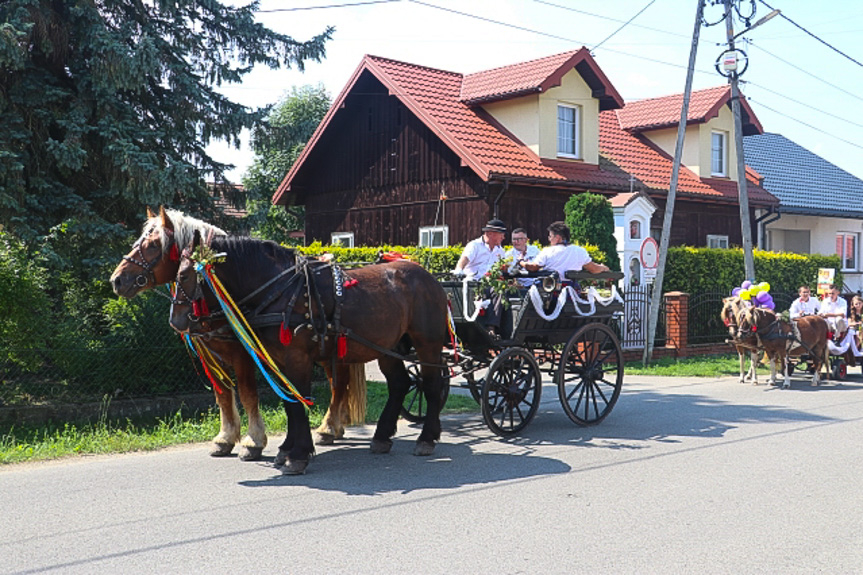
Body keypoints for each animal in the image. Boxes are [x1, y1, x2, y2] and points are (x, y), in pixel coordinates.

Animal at [108, 207, 364, 460]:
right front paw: (225, 438)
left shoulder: (243, 354)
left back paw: (328, 427)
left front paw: (253, 441)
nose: (116, 280)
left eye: (153, 245)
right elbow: (222, 394)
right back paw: (335, 427)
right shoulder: (212, 355)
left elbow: (248, 393)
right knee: (337, 383)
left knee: (339, 384)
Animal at [171, 232, 448, 474]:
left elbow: (299, 400)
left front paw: (298, 455)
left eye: (184, 275)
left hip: (427, 345)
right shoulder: (277, 361)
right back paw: (381, 437)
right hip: (389, 347)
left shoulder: (297, 358)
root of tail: (430, 278)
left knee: (432, 385)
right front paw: (286, 449)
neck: (281, 290)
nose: (176, 321)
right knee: (399, 384)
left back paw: (426, 438)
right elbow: (290, 403)